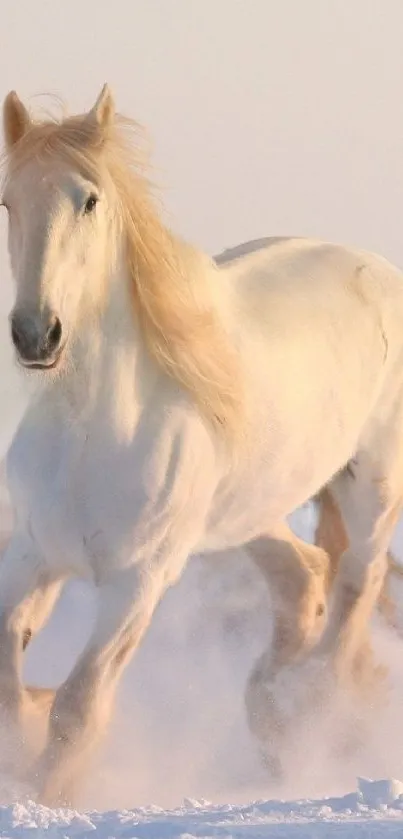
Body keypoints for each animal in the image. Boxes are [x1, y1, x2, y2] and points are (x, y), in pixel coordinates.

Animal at [2, 85, 403, 808]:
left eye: (88, 200)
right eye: (8, 202)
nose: (35, 334)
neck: (91, 431)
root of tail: (376, 267)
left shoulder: (138, 581)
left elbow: (79, 705)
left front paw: (49, 792)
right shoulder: (32, 555)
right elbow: (10, 683)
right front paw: (24, 744)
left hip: (372, 487)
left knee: (356, 587)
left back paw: (312, 717)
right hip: (244, 512)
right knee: (304, 575)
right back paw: (271, 712)